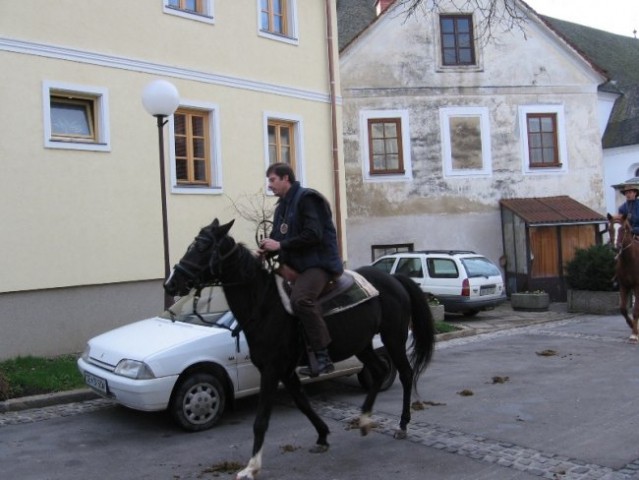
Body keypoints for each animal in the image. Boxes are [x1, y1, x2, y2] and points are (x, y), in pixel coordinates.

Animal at [165, 219, 436, 478]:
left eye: (203, 246)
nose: (171, 283)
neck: (264, 304)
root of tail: (394, 279)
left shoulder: (271, 369)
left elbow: (261, 420)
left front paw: (251, 467)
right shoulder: (285, 370)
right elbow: (303, 403)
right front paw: (323, 436)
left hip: (393, 338)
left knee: (405, 374)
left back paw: (402, 425)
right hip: (361, 344)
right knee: (379, 371)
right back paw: (365, 420)